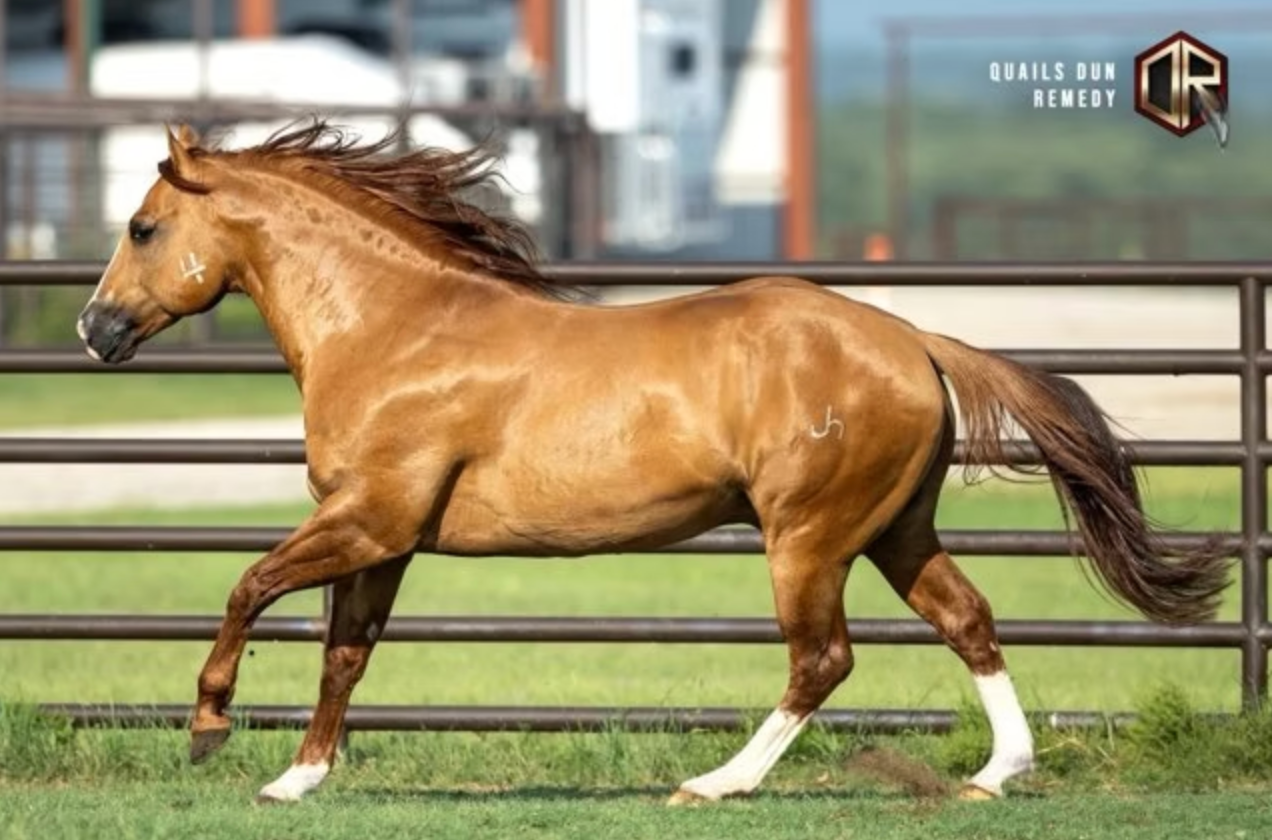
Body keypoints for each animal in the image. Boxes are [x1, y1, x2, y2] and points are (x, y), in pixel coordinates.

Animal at [76, 121, 1230, 805]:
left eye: (142, 225)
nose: (93, 330)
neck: (397, 328)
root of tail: (913, 340)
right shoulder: (384, 538)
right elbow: (344, 655)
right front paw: (298, 780)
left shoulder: (371, 518)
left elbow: (247, 587)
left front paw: (209, 728)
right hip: (896, 529)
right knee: (968, 621)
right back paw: (997, 773)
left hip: (807, 537)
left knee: (823, 658)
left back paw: (717, 784)